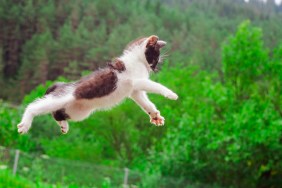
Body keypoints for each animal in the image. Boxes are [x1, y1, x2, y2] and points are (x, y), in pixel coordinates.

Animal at [17, 35, 178, 134]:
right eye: (154, 58)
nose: (154, 68)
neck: (136, 59)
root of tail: (59, 85)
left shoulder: (134, 91)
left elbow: (145, 102)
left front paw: (155, 115)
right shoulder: (136, 81)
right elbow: (155, 85)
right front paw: (171, 94)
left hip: (78, 112)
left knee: (57, 113)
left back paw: (64, 126)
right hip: (65, 97)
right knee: (35, 106)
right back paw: (25, 125)